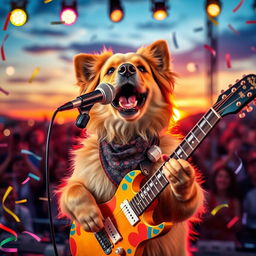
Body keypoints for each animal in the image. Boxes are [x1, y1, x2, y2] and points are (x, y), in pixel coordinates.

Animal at [59, 40, 204, 256]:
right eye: (110, 70)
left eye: (142, 68)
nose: (126, 68)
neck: (126, 137)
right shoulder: (80, 176)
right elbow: (72, 190)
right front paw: (89, 215)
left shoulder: (170, 211)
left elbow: (184, 205)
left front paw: (182, 178)